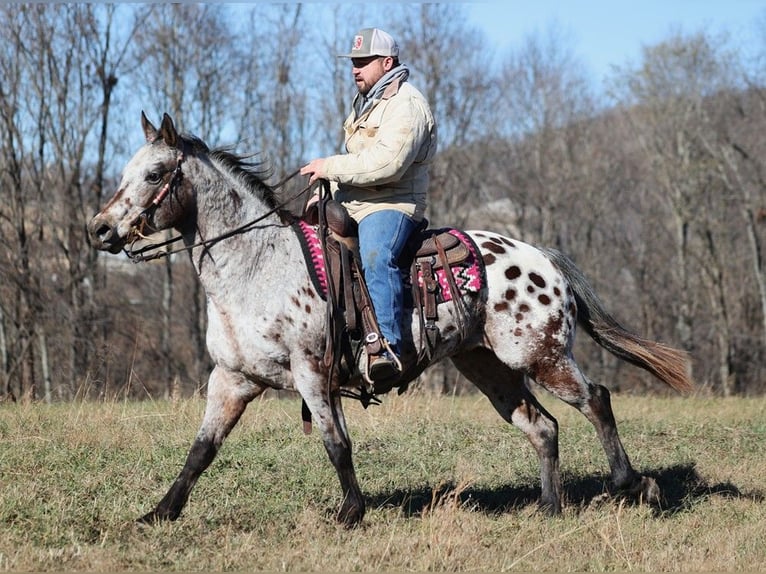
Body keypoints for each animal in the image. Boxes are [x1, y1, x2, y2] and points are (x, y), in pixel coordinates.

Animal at [87, 111, 692, 528]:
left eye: (156, 173)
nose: (100, 229)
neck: (257, 265)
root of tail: (544, 258)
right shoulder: (232, 379)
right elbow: (201, 449)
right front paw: (159, 513)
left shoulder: (311, 372)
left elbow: (335, 442)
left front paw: (350, 512)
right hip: (488, 367)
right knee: (542, 426)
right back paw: (549, 507)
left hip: (541, 355)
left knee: (596, 400)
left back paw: (634, 486)